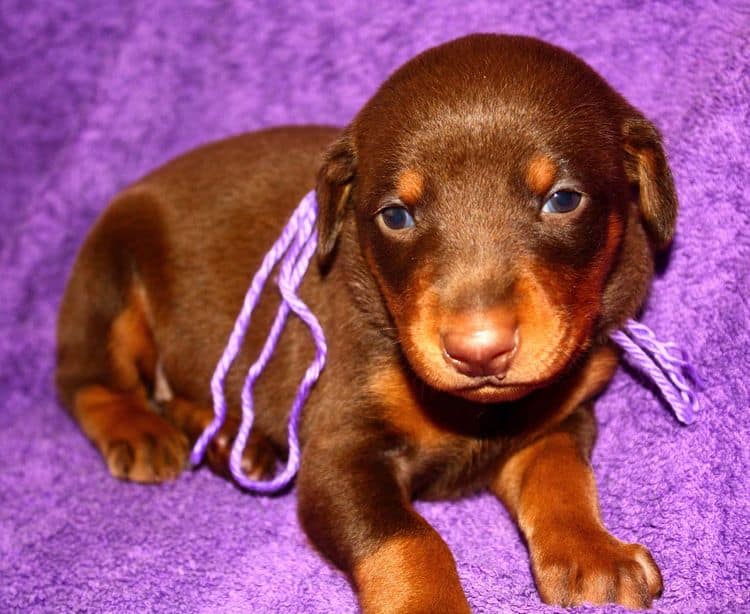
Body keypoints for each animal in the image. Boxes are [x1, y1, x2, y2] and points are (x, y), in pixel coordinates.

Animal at [57, 35, 676, 614]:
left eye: (563, 199)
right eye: (396, 215)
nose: (479, 351)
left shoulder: (560, 419)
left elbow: (562, 476)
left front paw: (593, 554)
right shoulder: (341, 451)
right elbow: (410, 540)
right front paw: (430, 605)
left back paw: (234, 439)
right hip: (109, 275)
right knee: (87, 383)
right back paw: (140, 430)